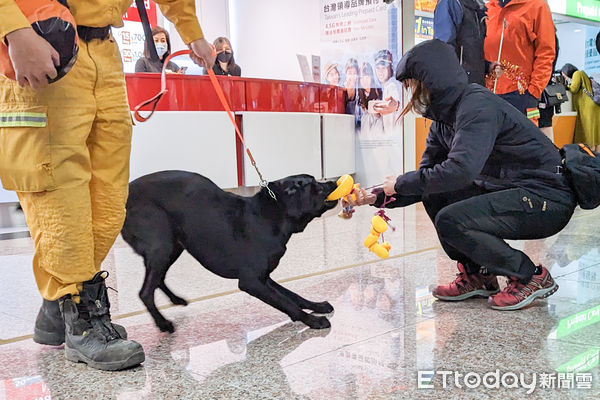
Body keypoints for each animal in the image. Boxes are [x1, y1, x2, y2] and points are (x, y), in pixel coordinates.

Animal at [119, 170, 340, 332]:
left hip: (173, 247)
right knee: (145, 292)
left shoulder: (265, 278)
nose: (336, 181)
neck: (270, 215)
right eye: (317, 186)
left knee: (158, 279)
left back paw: (175, 299)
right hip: (162, 246)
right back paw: (162, 323)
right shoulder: (251, 282)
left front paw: (318, 306)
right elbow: (287, 303)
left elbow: (293, 296)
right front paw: (313, 321)